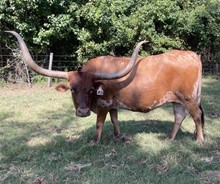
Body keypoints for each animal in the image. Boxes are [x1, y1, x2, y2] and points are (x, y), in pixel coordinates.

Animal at [6, 31, 205, 144]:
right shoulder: (112, 104)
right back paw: (170, 138)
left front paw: (95, 141)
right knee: (179, 116)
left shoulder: (103, 103)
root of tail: (191, 54)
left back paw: (199, 140)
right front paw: (118, 137)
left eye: (91, 90)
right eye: (72, 89)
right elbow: (115, 119)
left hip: (189, 98)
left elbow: (99, 123)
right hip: (177, 99)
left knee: (196, 116)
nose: (82, 112)